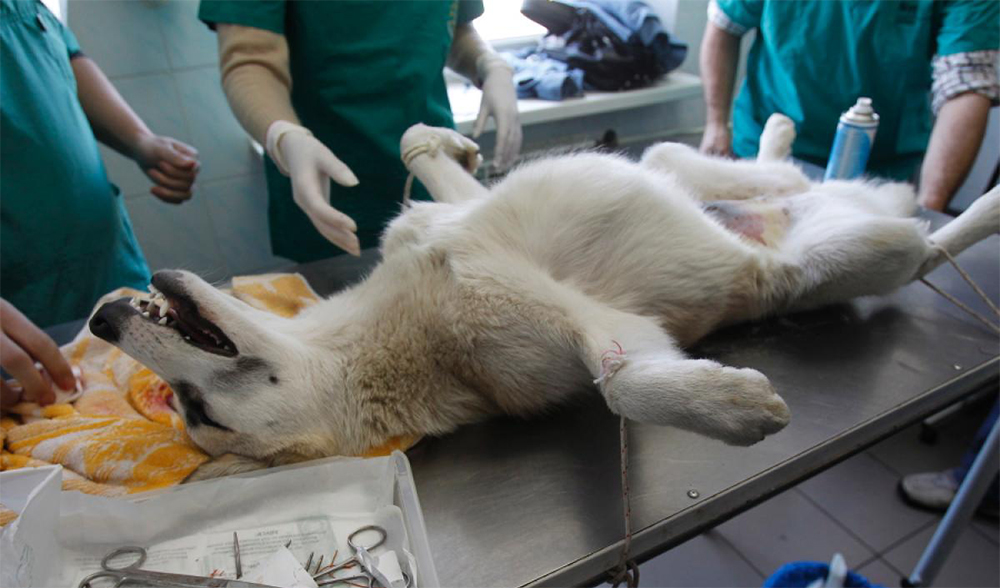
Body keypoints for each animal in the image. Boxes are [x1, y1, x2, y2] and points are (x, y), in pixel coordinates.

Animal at [89, 115, 1000, 480]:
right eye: (196, 413)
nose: (100, 317)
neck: (391, 332)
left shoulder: (452, 224)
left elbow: (420, 150)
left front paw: (454, 138)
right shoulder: (597, 329)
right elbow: (624, 384)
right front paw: (733, 407)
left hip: (689, 167)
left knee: (749, 167)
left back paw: (780, 139)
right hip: (850, 260)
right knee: (925, 242)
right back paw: (981, 206)